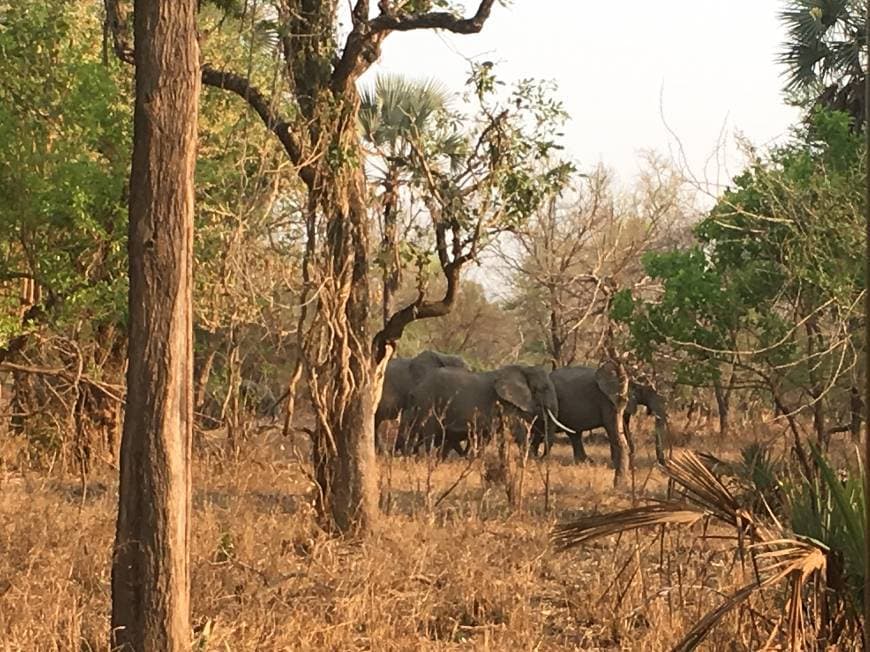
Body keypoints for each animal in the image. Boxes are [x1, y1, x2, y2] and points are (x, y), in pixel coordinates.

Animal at [402, 362, 580, 458]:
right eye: (543, 388)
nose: (541, 456)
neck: (523, 369)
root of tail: (416, 388)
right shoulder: (506, 403)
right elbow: (517, 431)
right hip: (428, 402)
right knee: (429, 433)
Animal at [540, 364, 672, 466]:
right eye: (648, 391)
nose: (662, 463)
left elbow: (625, 428)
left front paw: (629, 460)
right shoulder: (609, 400)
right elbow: (612, 428)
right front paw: (617, 464)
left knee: (574, 434)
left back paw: (586, 462)